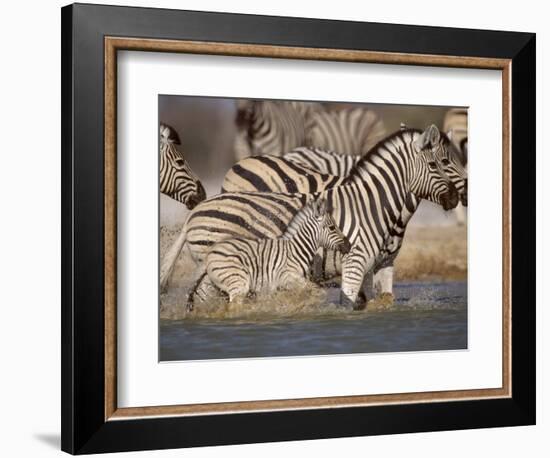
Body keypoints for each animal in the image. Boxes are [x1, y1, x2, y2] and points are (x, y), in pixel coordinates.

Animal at [199, 199, 354, 306]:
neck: (297, 250)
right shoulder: (289, 277)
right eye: (332, 227)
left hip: (218, 286)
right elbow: (317, 291)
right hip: (238, 282)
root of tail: (210, 253)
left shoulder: (283, 286)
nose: (349, 245)